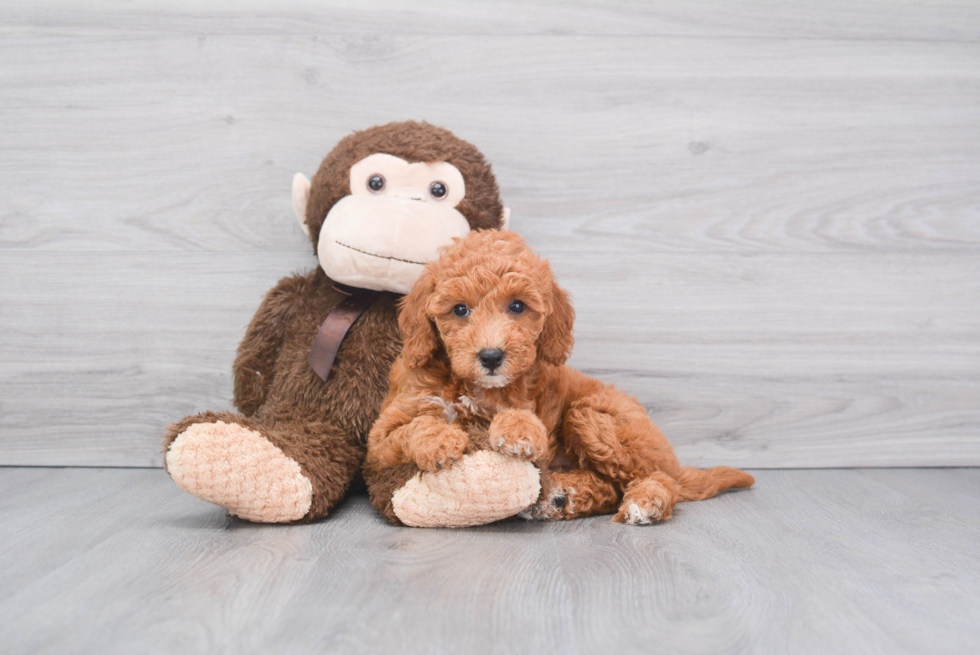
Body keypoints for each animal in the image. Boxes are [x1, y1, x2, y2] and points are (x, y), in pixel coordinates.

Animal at [364, 231, 756, 524]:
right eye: (460, 310)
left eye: (517, 306)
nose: (491, 357)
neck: (469, 386)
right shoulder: (381, 437)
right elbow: (414, 426)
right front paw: (440, 440)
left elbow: (520, 417)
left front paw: (518, 430)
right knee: (609, 485)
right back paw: (562, 495)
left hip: (591, 415)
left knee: (653, 478)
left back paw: (645, 501)